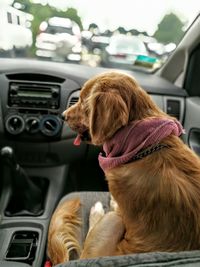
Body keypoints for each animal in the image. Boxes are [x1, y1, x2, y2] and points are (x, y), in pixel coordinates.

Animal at [47, 71, 200, 266]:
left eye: (82, 101)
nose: (63, 115)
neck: (144, 146)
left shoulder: (122, 211)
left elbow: (117, 208)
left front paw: (111, 203)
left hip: (111, 223)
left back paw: (97, 211)